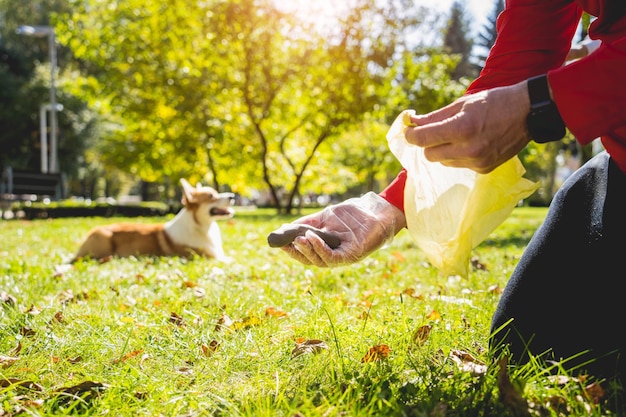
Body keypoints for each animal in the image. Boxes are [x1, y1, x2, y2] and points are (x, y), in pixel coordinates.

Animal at [69, 178, 234, 262]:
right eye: (211, 196)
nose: (232, 196)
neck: (201, 227)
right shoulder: (207, 257)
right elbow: (231, 261)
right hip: (104, 238)